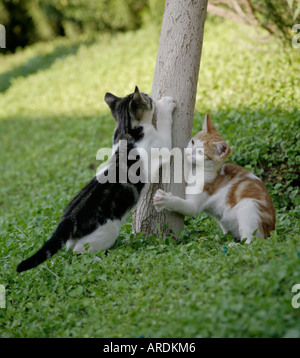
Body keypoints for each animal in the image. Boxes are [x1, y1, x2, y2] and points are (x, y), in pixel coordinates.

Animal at [16, 86, 175, 272]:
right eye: (146, 97)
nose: (150, 95)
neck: (125, 131)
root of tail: (68, 219)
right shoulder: (161, 143)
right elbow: (164, 125)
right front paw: (166, 104)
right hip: (107, 231)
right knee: (78, 253)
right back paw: (100, 260)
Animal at [154, 114, 276, 243]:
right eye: (192, 142)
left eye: (200, 152)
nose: (187, 153)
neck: (197, 170)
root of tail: (271, 230)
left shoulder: (200, 196)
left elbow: (184, 206)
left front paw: (165, 199)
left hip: (249, 206)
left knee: (251, 241)